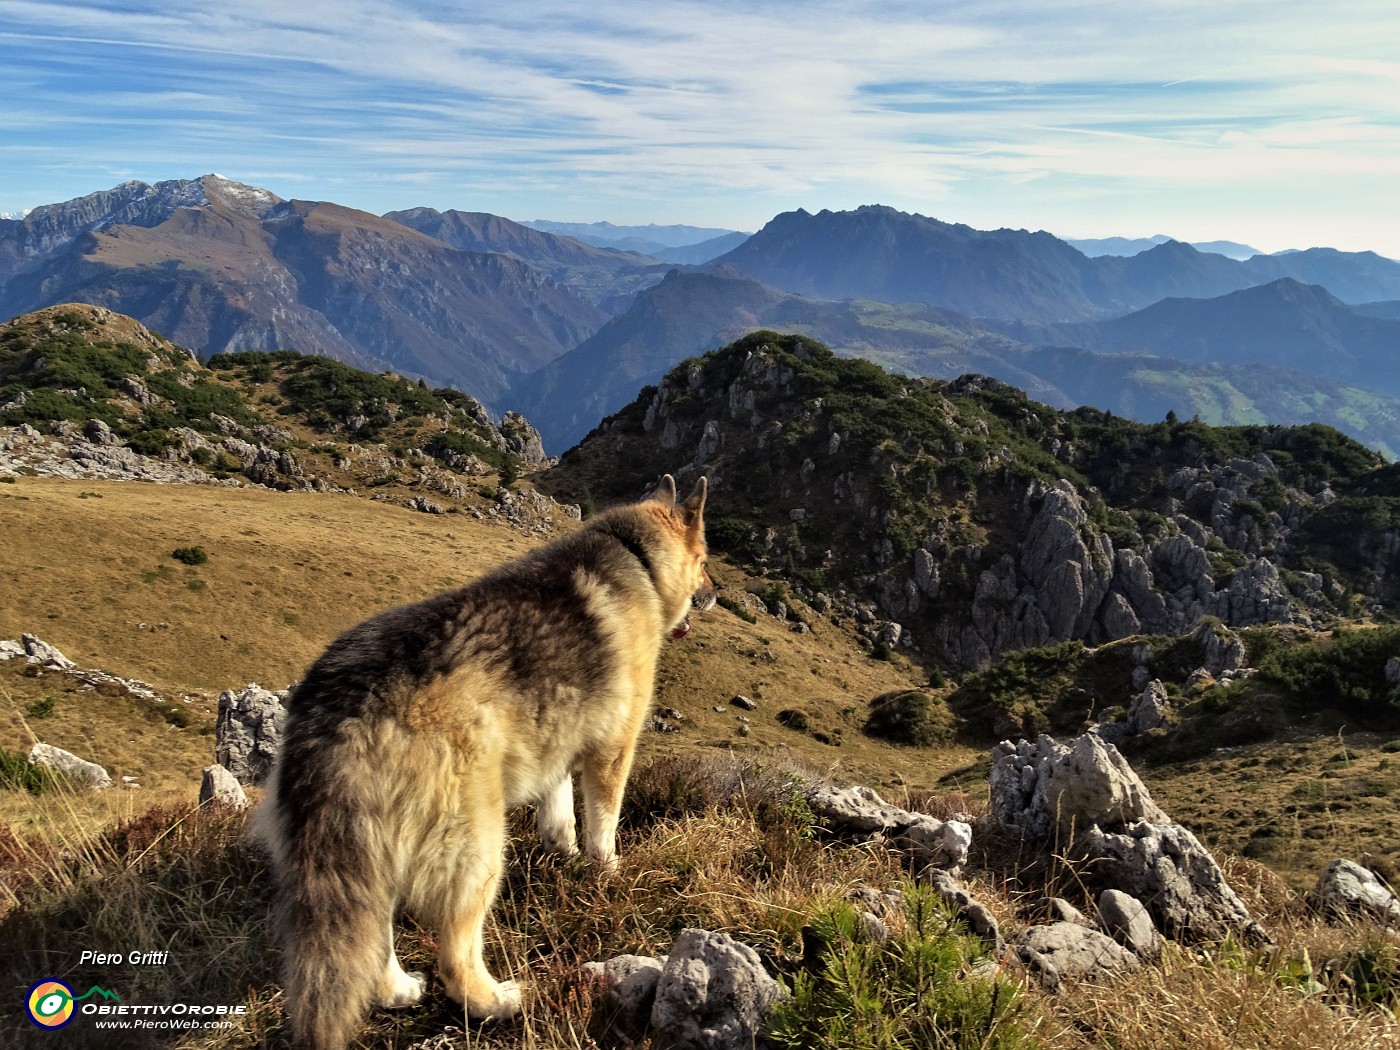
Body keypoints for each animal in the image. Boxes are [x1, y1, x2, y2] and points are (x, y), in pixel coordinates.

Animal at [253, 478, 716, 1050]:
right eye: (705, 559)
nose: (715, 591)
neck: (637, 560)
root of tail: (342, 704)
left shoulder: (554, 744)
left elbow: (559, 811)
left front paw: (563, 854)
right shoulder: (612, 750)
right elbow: (603, 825)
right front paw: (606, 872)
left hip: (365, 850)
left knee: (374, 934)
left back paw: (397, 989)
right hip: (476, 845)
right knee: (455, 954)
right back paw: (495, 1002)